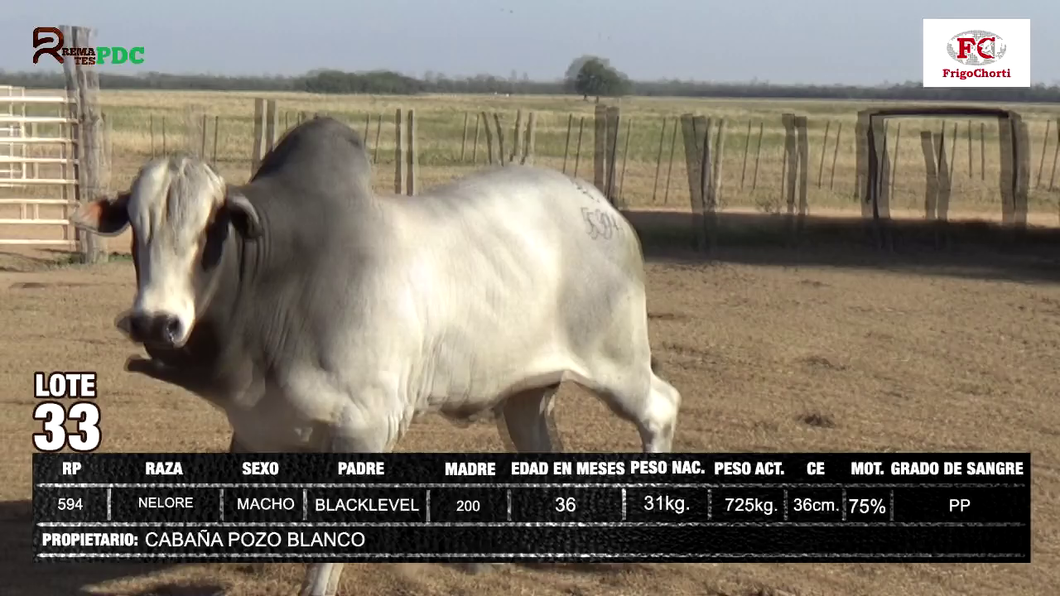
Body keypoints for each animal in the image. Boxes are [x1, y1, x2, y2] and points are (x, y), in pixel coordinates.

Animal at [70, 117, 678, 593]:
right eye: (136, 231)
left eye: (208, 232)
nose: (154, 322)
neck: (281, 279)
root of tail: (601, 207)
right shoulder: (257, 425)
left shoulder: (364, 426)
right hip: (524, 391)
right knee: (539, 445)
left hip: (617, 363)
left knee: (661, 407)